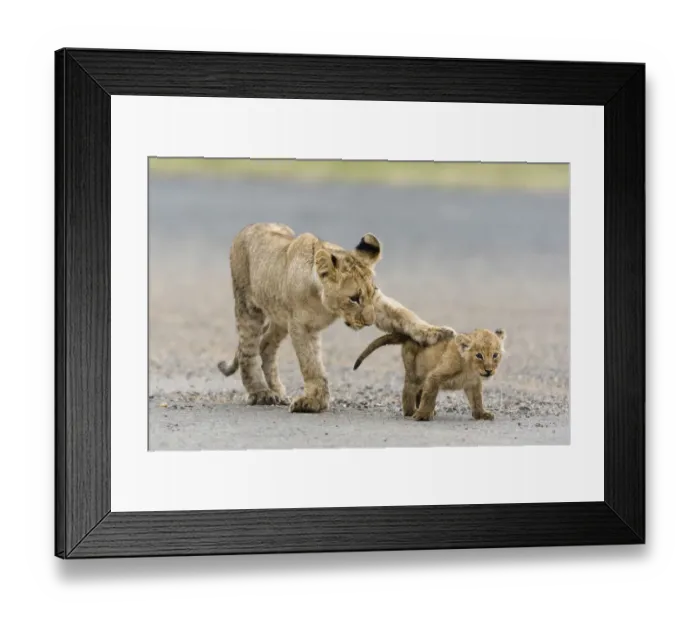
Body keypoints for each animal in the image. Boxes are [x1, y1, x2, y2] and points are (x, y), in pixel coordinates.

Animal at [217, 223, 455, 413]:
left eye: (372, 292)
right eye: (354, 298)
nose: (369, 322)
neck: (324, 303)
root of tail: (250, 227)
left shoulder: (377, 305)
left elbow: (404, 315)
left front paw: (437, 332)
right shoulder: (300, 326)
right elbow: (311, 365)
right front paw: (314, 401)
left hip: (278, 318)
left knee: (266, 343)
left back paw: (277, 390)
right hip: (249, 306)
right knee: (248, 351)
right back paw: (261, 393)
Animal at [353, 327, 507, 421]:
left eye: (495, 355)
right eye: (479, 355)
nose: (489, 370)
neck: (470, 369)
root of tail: (410, 336)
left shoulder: (473, 384)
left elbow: (477, 400)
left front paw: (481, 414)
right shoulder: (435, 376)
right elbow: (429, 396)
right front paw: (422, 415)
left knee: (419, 391)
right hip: (414, 372)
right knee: (409, 390)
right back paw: (411, 411)